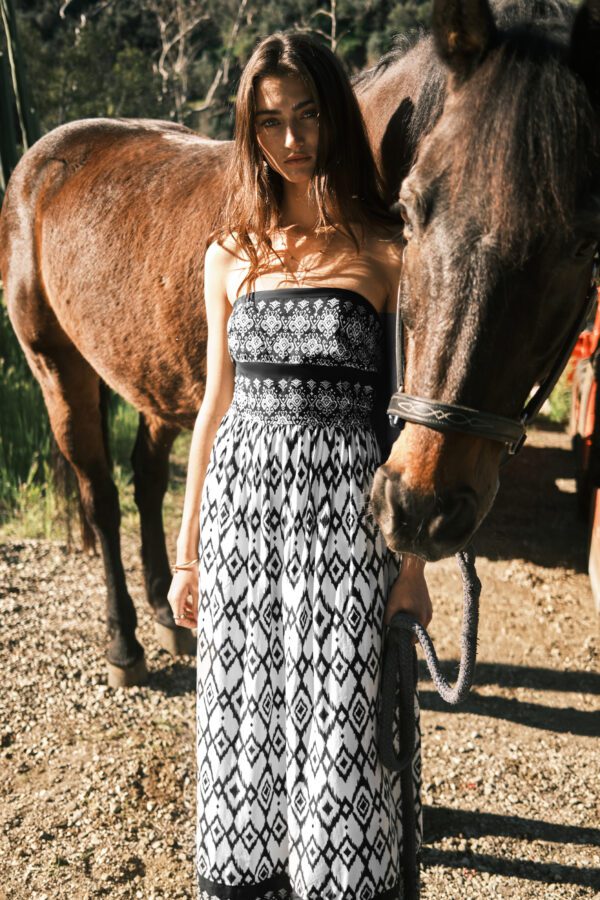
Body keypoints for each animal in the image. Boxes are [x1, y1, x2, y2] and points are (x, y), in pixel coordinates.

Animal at [0, 0, 596, 684]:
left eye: (582, 243)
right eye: (412, 211)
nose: (426, 505)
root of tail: (42, 158)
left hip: (157, 378)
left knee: (147, 477)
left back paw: (165, 612)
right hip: (56, 366)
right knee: (101, 495)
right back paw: (124, 643)